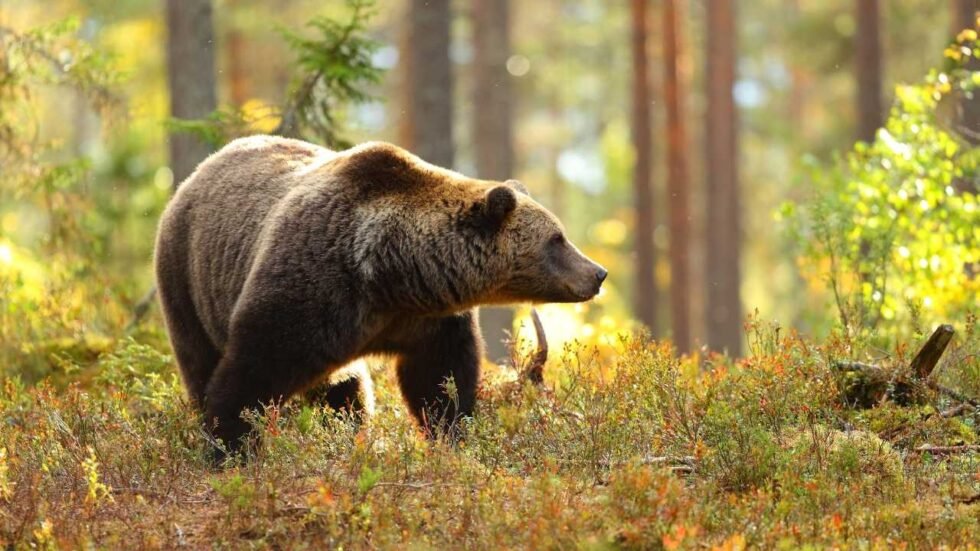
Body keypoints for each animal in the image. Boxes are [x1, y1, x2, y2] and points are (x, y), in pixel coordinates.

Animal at [154, 135, 607, 454]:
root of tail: (196, 173)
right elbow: (253, 368)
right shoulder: (311, 286)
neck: (390, 274)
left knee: (345, 390)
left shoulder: (426, 320)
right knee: (199, 358)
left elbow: (438, 380)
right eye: (556, 239)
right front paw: (230, 445)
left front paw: (452, 433)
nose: (598, 273)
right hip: (187, 279)